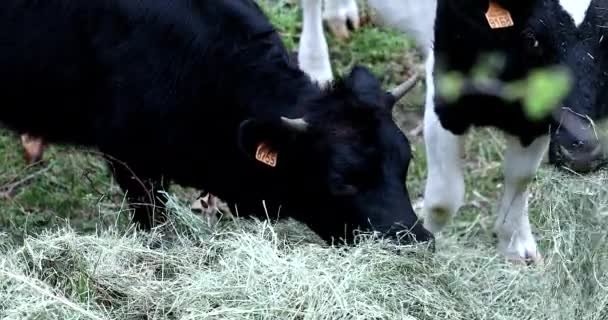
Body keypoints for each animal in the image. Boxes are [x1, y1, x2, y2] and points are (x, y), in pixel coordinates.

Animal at [422, 0, 608, 262]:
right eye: (533, 39)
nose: (581, 153)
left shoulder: (533, 119)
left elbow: (520, 178)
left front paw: (514, 246)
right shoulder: (446, 96)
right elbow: (443, 200)